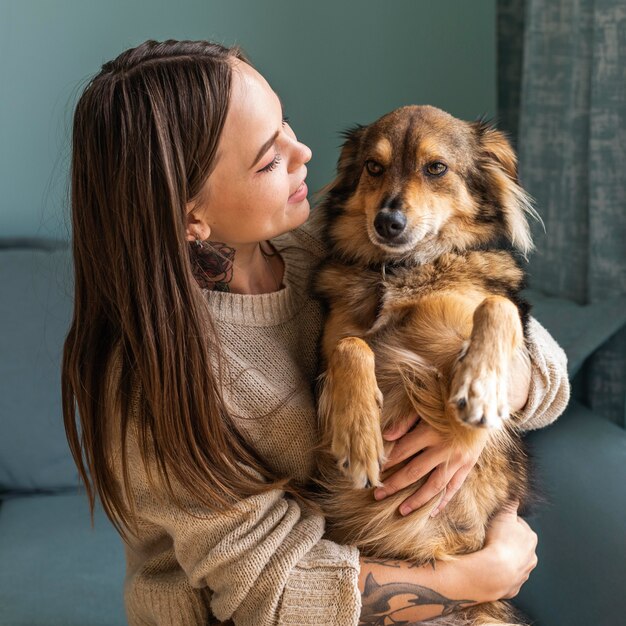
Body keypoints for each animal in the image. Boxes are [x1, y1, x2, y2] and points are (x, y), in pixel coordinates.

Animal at [314, 105, 540, 620]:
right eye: (373, 167)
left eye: (436, 168)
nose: (388, 222)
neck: (403, 269)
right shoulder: (332, 344)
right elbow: (352, 345)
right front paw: (358, 433)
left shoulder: (450, 351)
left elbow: (496, 307)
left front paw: (482, 388)